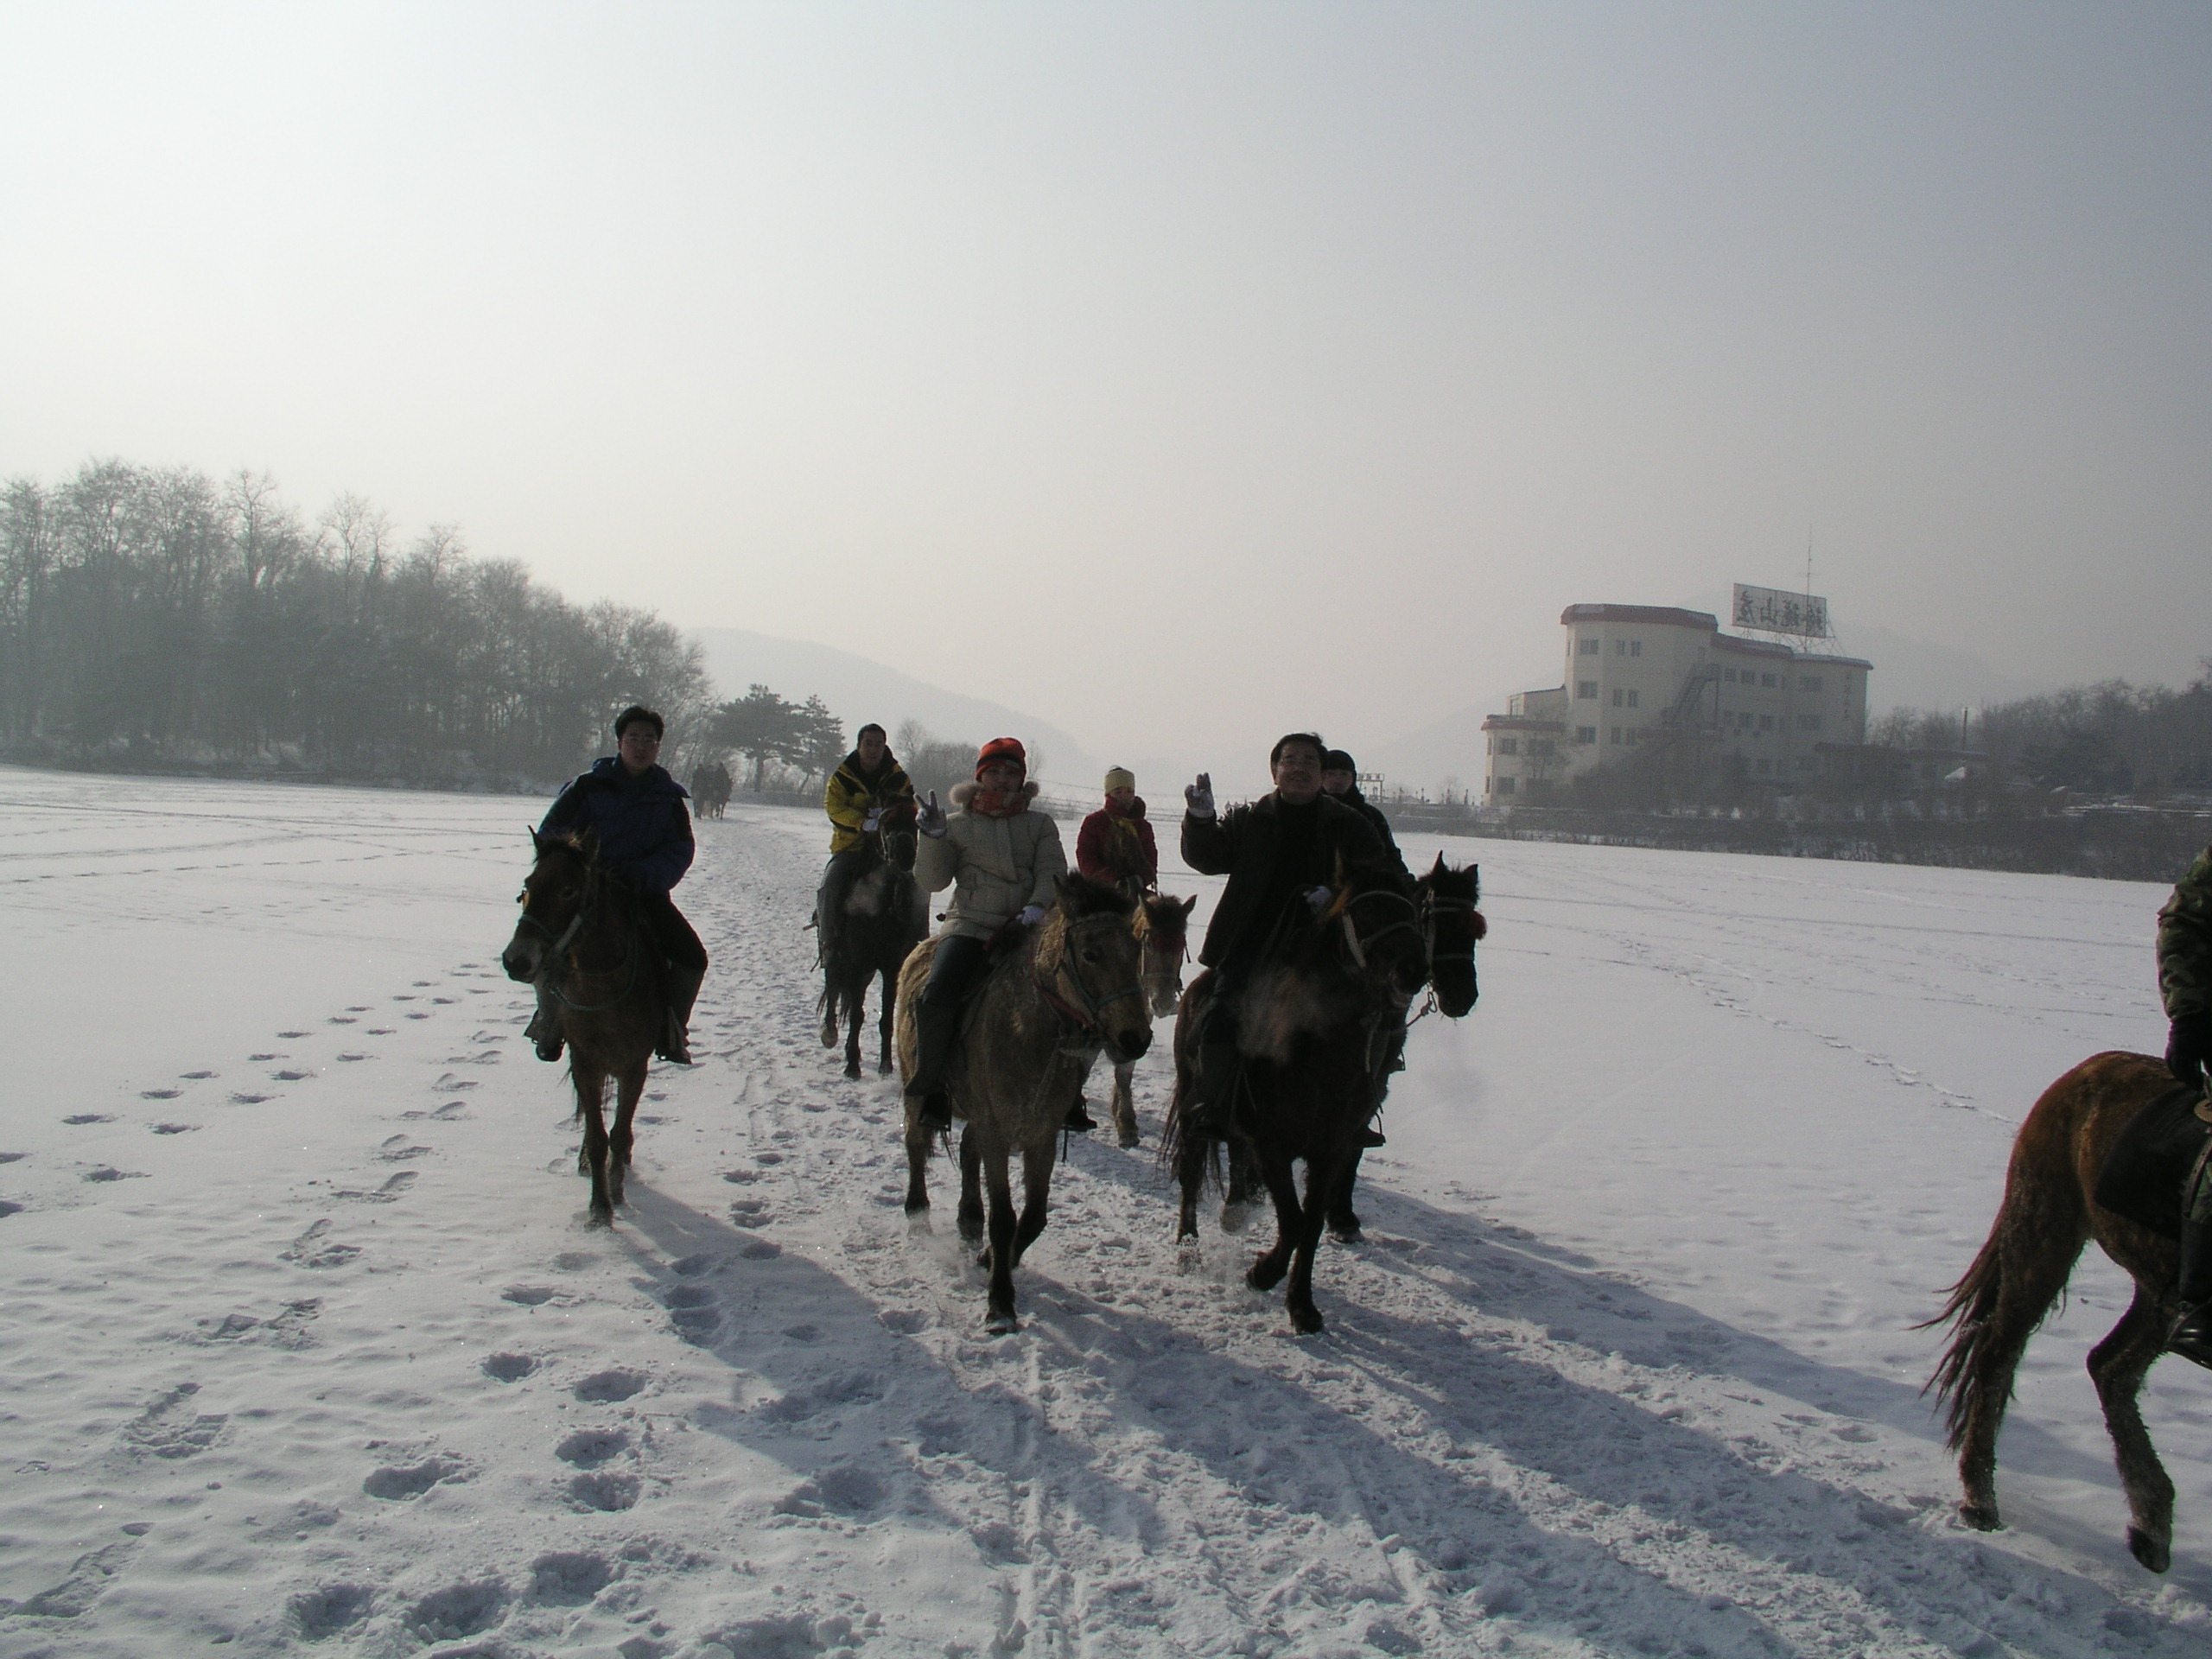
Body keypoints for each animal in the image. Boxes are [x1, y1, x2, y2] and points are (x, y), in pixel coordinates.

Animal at [499, 831, 664, 1238]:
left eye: (568, 890)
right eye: (528, 886)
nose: (516, 960)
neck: (604, 990)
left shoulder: (634, 1067)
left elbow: (619, 1133)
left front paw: (617, 1192)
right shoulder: (584, 1064)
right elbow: (597, 1138)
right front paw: (599, 1209)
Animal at [818, 814, 919, 1079]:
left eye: (916, 821)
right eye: (885, 824)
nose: (906, 857)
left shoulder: (890, 968)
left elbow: (886, 1019)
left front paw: (886, 1065)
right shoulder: (857, 964)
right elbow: (856, 1015)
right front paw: (852, 1066)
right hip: (837, 956)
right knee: (833, 985)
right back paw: (830, 1033)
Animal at [1159, 871, 1433, 1336]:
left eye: (1412, 908)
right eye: (1365, 909)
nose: (1413, 970)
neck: (1322, 1055)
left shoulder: (1331, 1150)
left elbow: (1311, 1225)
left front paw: (1302, 1304)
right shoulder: (1273, 1146)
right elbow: (1292, 1219)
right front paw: (1262, 1274)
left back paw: (1235, 1210)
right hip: (1195, 1105)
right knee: (1192, 1175)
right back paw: (1188, 1248)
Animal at [1920, 1057, 2194, 1574]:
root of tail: (2089, 1067)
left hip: (2154, 1291)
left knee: (2110, 1369)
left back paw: (2151, 1526)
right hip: (2045, 1232)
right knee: (1998, 1354)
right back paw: (1980, 1499)